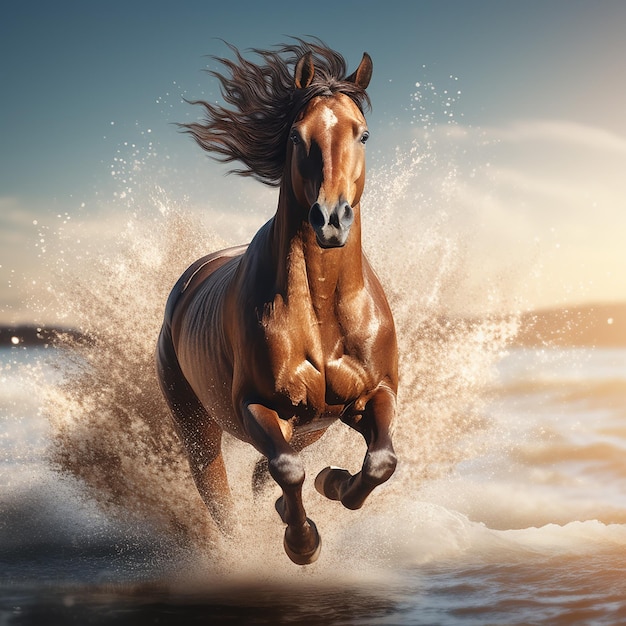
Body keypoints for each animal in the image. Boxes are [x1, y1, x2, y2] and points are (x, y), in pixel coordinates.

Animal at [158, 40, 398, 564]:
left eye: (363, 134)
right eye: (296, 134)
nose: (330, 219)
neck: (324, 309)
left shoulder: (375, 393)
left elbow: (380, 462)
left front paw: (334, 482)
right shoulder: (257, 404)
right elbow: (287, 470)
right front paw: (302, 543)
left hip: (314, 423)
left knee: (261, 475)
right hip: (199, 428)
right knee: (222, 494)